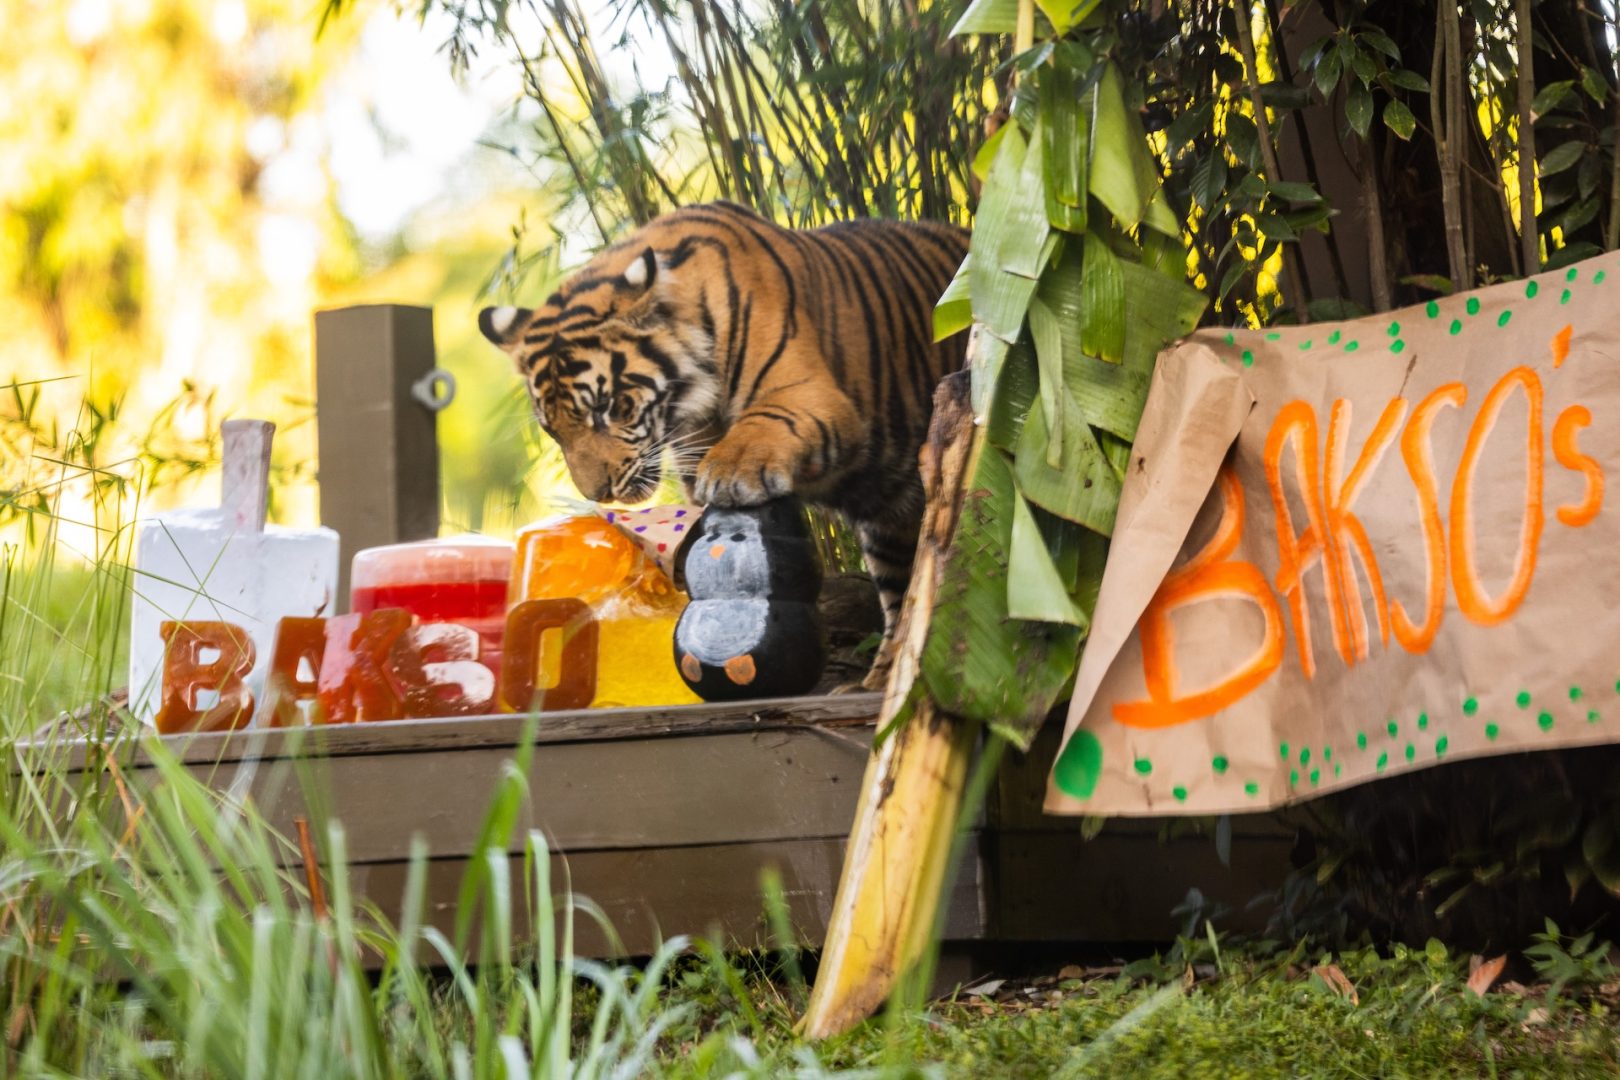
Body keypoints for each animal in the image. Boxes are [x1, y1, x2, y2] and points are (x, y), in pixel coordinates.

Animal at [479, 200, 969, 688]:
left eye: (609, 407)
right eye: (552, 431)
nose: (599, 493)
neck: (694, 394)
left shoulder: (808, 391)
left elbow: (764, 424)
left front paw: (732, 473)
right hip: (890, 523)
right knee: (902, 594)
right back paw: (880, 680)